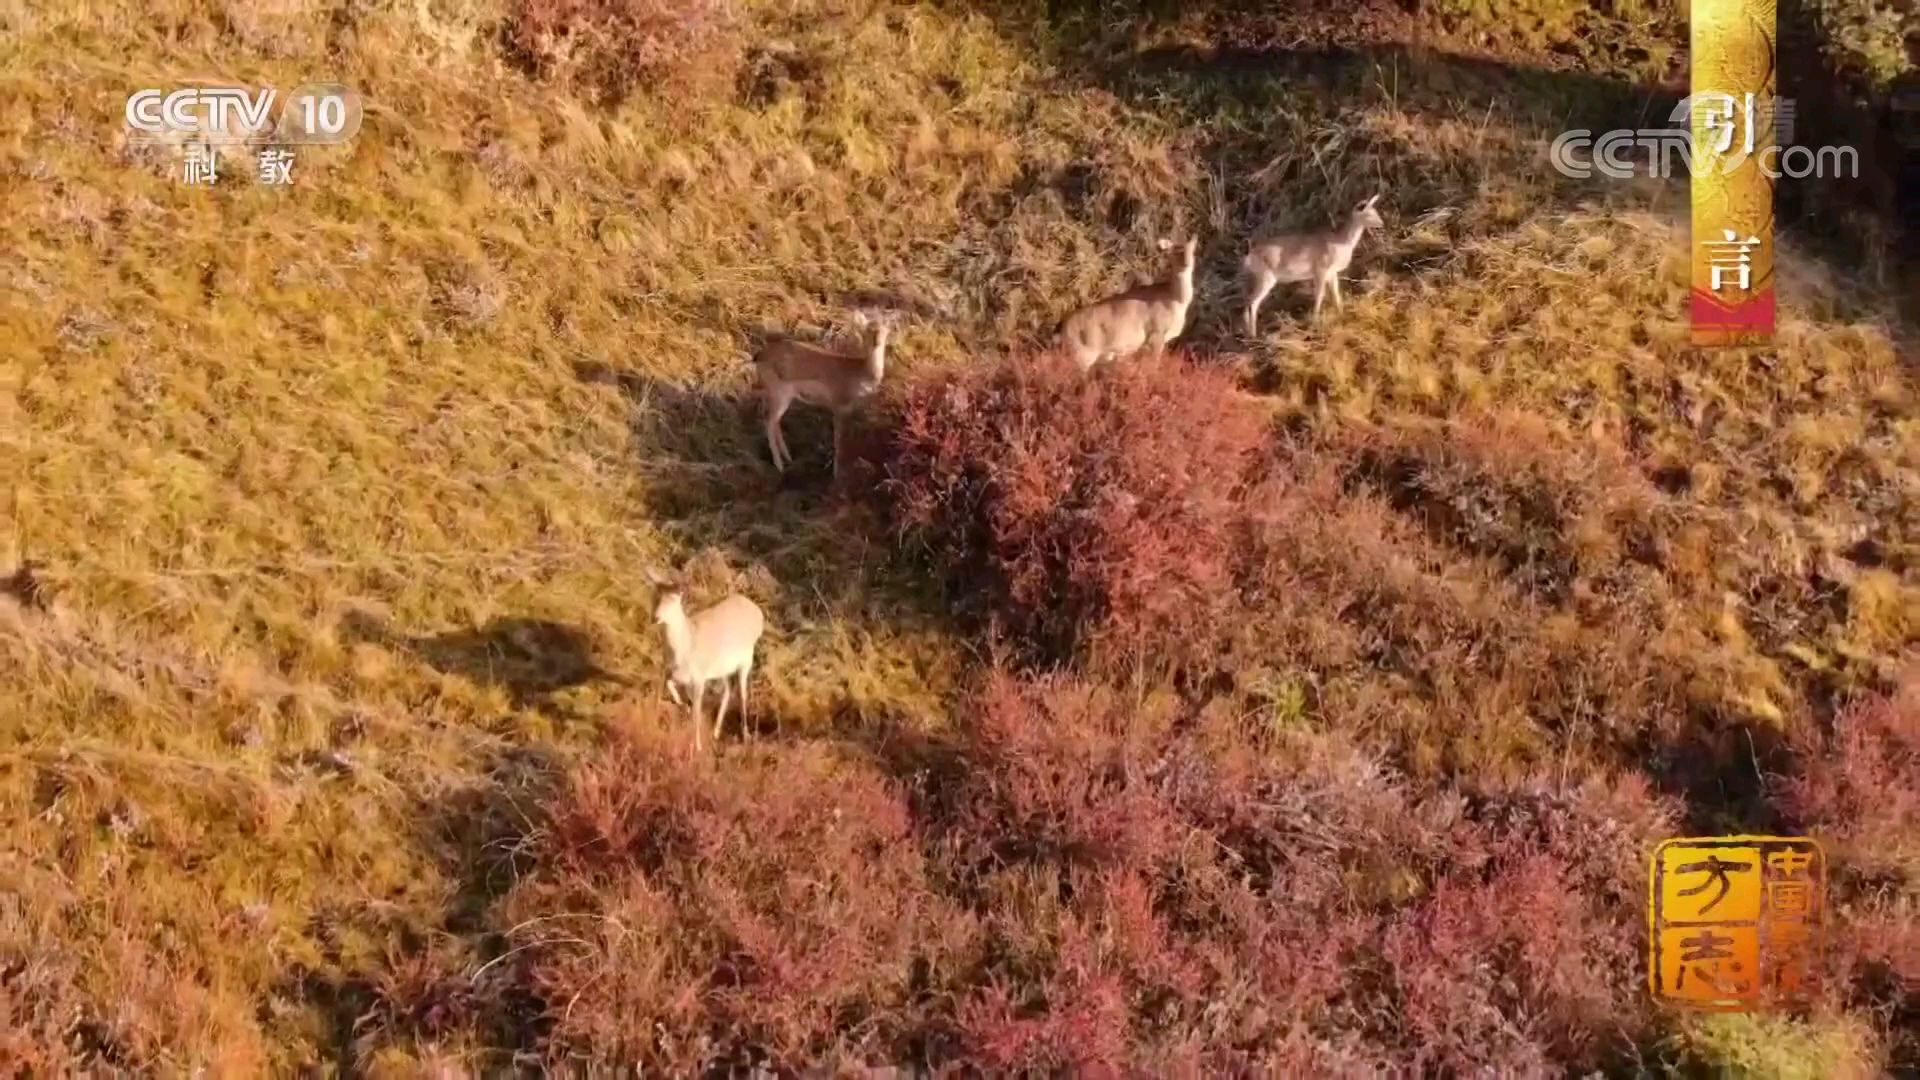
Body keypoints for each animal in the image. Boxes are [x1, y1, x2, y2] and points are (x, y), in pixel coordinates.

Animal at [645, 564, 764, 749]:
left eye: (673, 599)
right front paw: (683, 705)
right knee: (728, 690)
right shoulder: (674, 673)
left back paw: (746, 735)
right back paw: (716, 732)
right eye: (655, 595)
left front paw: (697, 746)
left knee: (742, 694)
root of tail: (758, 613)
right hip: (722, 667)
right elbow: (670, 686)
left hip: (746, 659)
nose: (655, 617)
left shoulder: (699, 678)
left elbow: (697, 712)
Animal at [748, 305, 898, 476]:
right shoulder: (839, 408)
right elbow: (839, 441)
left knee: (775, 422)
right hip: (780, 394)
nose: (876, 342)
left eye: (885, 329)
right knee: (769, 422)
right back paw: (780, 466)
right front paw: (837, 473)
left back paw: (789, 458)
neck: (861, 372)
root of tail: (759, 355)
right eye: (868, 329)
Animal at [1059, 234, 1190, 368]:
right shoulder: (1156, 335)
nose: (1185, 263)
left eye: (1192, 249)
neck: (1176, 300)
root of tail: (1064, 327)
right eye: (1174, 251)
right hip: (1084, 353)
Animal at [1244, 189, 1382, 332]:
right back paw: (1253, 333)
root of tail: (1250, 254)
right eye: (1368, 213)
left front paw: (1341, 314)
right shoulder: (1320, 271)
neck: (1341, 242)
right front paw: (1315, 322)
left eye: (1375, 211)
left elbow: (1336, 295)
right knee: (1253, 302)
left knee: (1248, 301)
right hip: (1266, 278)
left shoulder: (1332, 273)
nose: (1381, 223)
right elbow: (1319, 295)